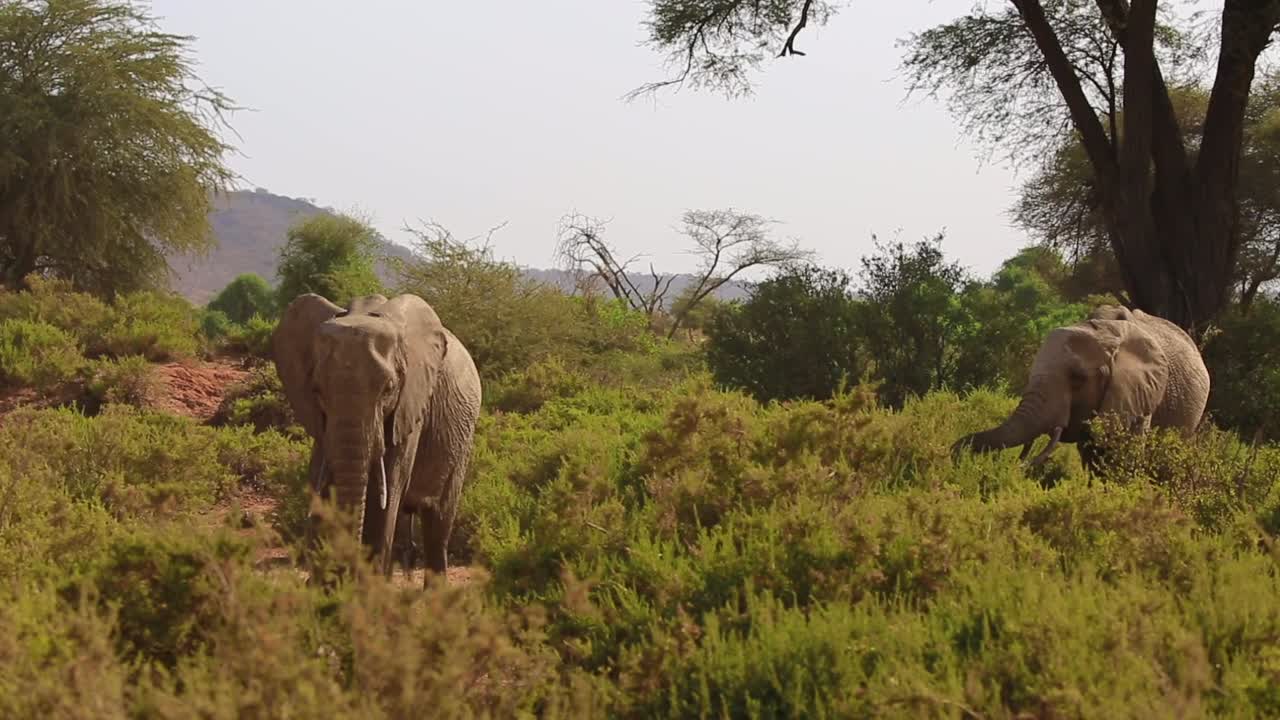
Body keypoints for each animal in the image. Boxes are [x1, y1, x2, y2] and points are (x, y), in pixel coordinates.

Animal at [272, 292, 481, 583]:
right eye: (317, 389)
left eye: (388, 389)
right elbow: (320, 481)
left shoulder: (410, 405)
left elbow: (388, 493)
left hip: (462, 440)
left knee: (437, 526)